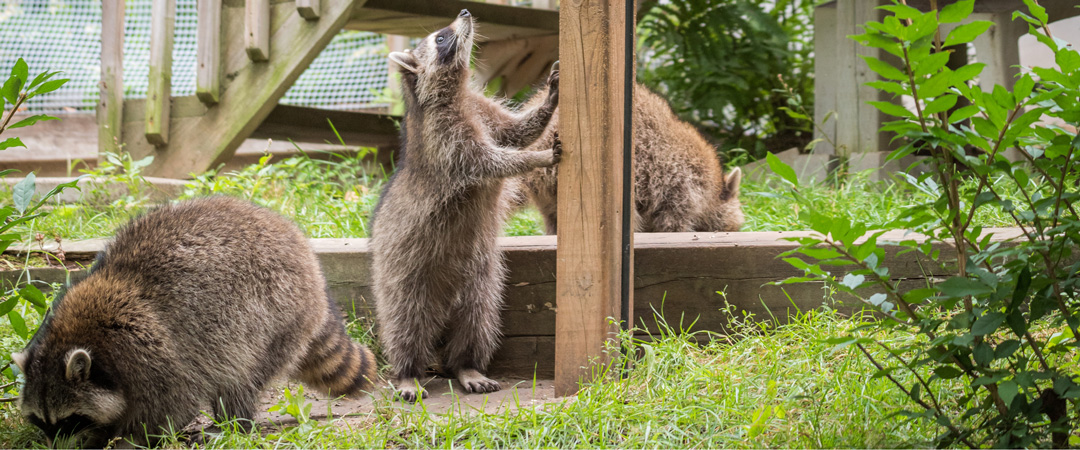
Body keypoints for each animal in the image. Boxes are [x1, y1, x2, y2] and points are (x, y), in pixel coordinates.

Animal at [9, 195, 375, 444]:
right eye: (42, 421)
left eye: (69, 420)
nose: (54, 447)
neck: (74, 335)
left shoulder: (149, 350)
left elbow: (171, 406)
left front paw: (124, 439)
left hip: (276, 312)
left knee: (240, 374)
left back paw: (231, 424)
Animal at [369, 8, 557, 401]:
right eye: (441, 37)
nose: (466, 12)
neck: (454, 92)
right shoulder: (446, 139)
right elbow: (493, 162)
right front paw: (537, 157)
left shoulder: (482, 110)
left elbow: (517, 132)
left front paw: (549, 101)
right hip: (401, 268)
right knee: (405, 320)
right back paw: (407, 370)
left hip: (483, 276)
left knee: (478, 319)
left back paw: (467, 365)